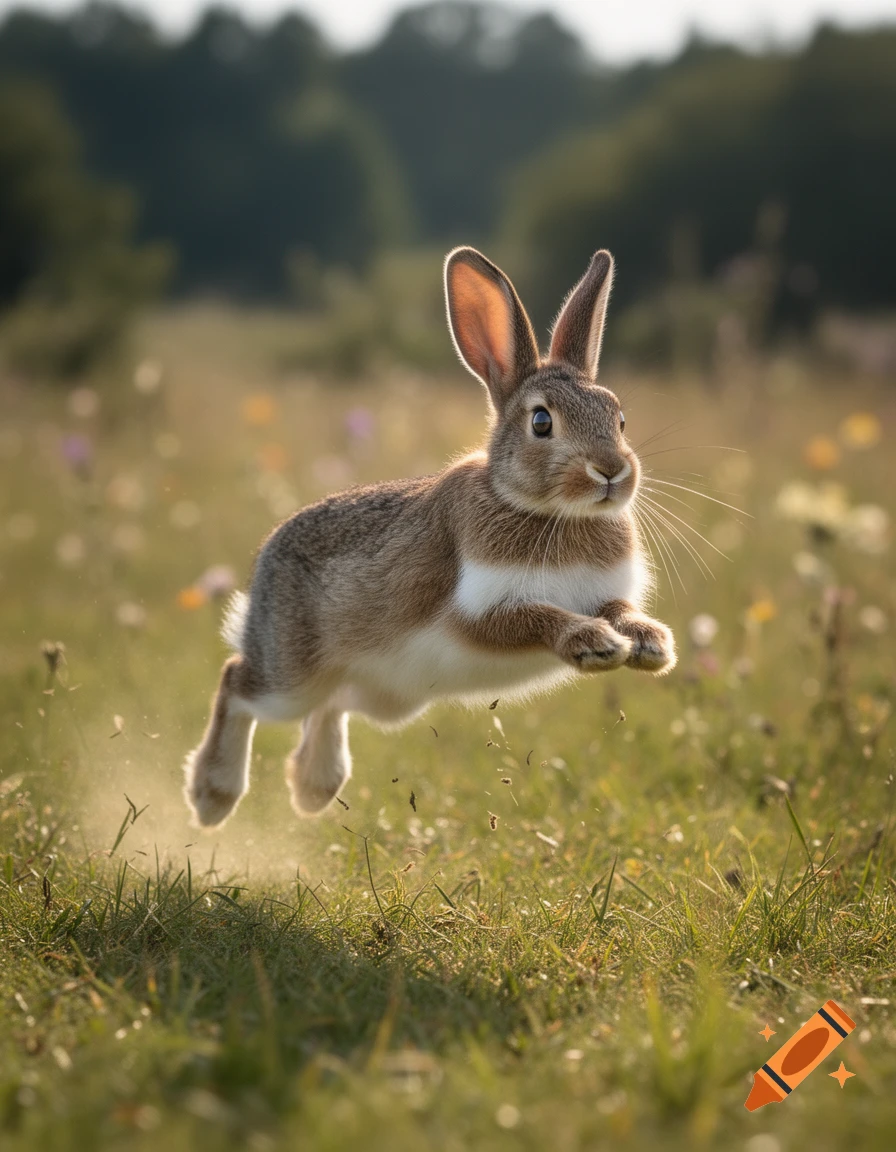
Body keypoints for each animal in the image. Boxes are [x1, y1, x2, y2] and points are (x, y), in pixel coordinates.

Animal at [184, 246, 676, 828]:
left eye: (619, 418)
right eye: (541, 422)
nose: (611, 471)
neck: (550, 511)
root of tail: (266, 560)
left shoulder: (606, 592)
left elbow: (620, 609)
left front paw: (650, 643)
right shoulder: (480, 610)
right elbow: (538, 618)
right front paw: (596, 644)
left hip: (388, 696)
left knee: (332, 704)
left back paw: (313, 786)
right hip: (292, 675)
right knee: (237, 681)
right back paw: (213, 794)